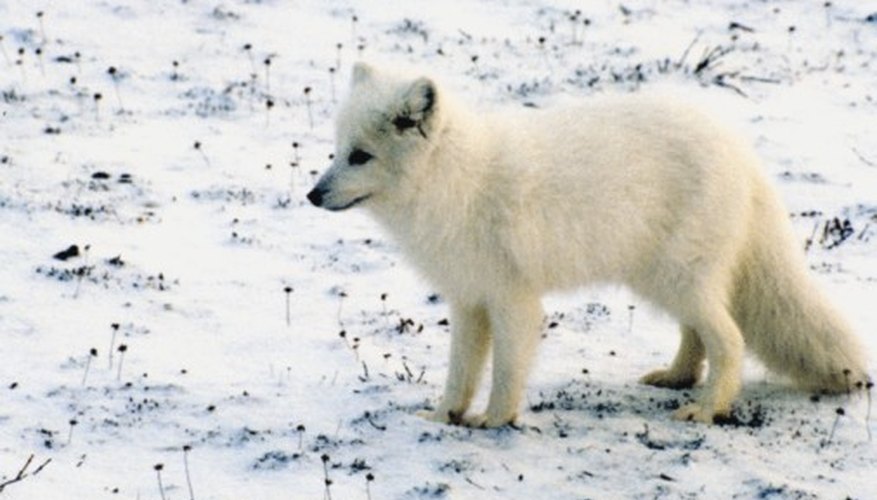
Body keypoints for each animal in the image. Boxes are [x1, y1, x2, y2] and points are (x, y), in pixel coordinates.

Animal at [304, 64, 864, 428]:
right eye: (336, 150)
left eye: (360, 156)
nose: (311, 195)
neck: (457, 180)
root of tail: (743, 155)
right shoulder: (468, 298)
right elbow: (460, 372)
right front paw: (443, 417)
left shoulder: (513, 299)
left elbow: (506, 371)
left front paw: (493, 422)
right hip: (665, 281)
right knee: (698, 335)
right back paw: (677, 378)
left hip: (679, 278)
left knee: (729, 340)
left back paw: (707, 409)